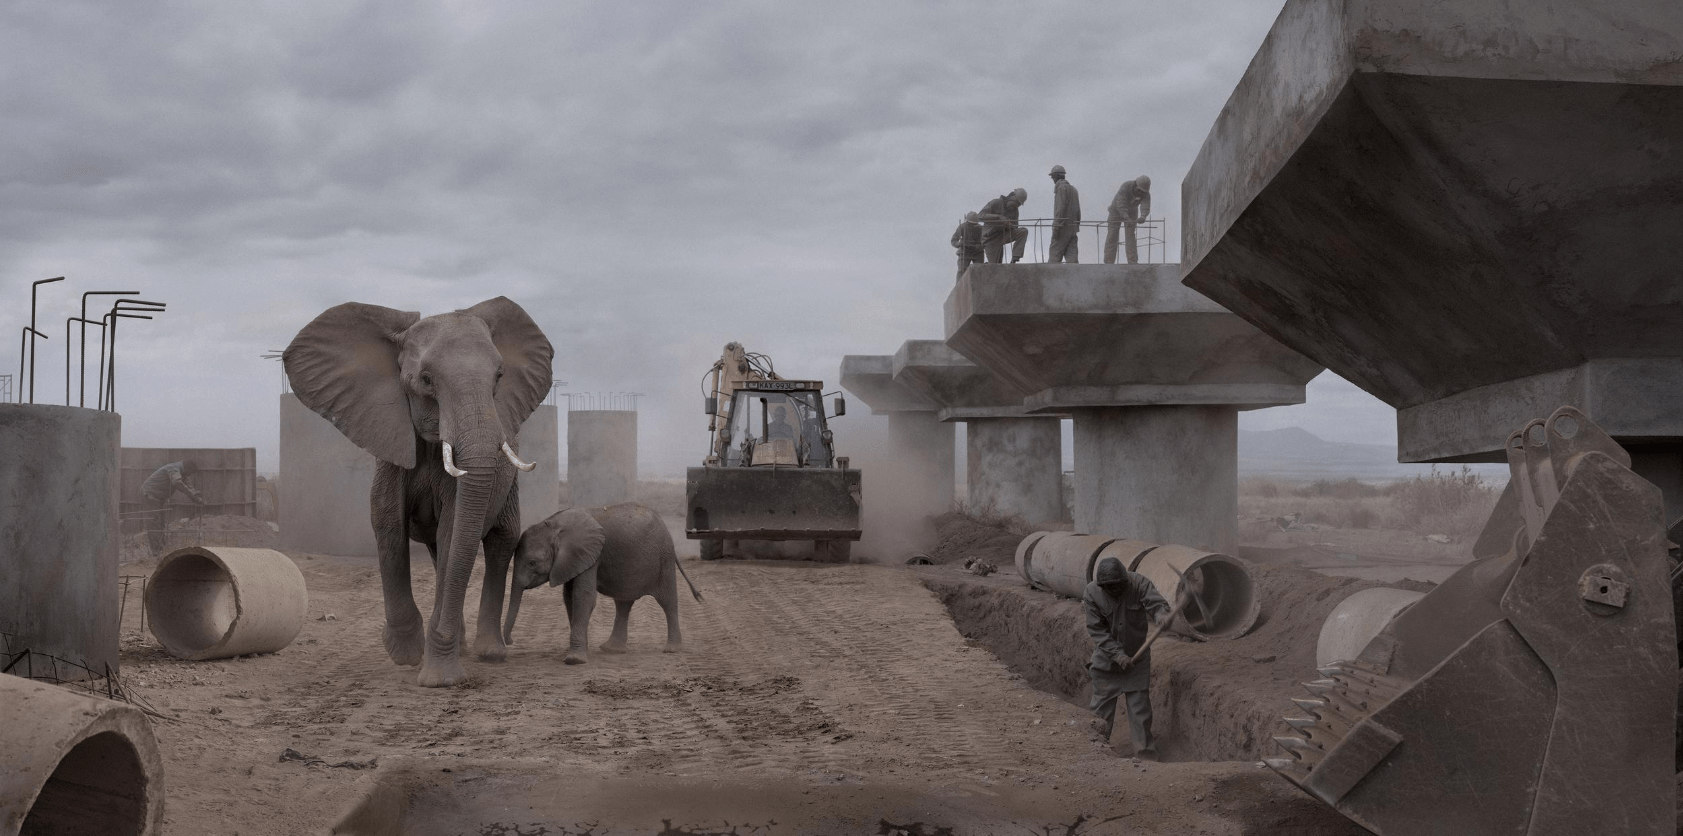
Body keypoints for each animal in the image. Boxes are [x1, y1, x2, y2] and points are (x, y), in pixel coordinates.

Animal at [286, 296, 552, 686]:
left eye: (499, 377)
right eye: (426, 381)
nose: (446, 679)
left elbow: (454, 527)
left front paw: (437, 673)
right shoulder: (391, 446)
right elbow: (387, 522)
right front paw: (406, 653)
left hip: (510, 485)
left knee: (500, 540)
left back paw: (488, 653)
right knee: (442, 551)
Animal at [504, 501, 703, 666]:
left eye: (532, 563)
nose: (511, 641)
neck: (554, 526)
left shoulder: (590, 555)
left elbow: (583, 597)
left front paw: (574, 660)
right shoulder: (573, 560)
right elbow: (569, 597)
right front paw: (582, 651)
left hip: (664, 559)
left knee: (667, 601)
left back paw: (671, 649)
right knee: (623, 602)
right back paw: (611, 649)